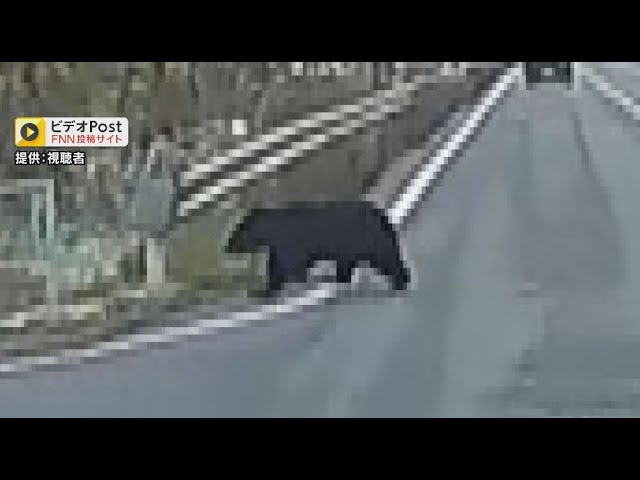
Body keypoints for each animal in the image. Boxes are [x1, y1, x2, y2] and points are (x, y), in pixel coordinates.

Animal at [225, 200, 411, 296]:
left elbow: (290, 266)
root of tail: (380, 214)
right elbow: (275, 268)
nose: (227, 246)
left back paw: (401, 279)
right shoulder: (278, 246)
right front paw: (261, 290)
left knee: (386, 258)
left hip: (365, 239)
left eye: (237, 231)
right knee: (348, 265)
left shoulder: (288, 242)